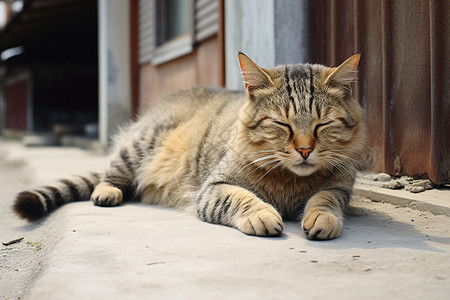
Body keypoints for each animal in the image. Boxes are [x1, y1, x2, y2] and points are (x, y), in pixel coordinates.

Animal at [12, 52, 364, 240]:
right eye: (282, 125)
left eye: (322, 125)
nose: (305, 150)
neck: (290, 180)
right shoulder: (213, 187)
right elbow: (241, 198)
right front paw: (262, 213)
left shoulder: (339, 189)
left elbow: (324, 200)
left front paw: (322, 218)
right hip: (140, 146)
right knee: (111, 173)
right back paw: (107, 191)